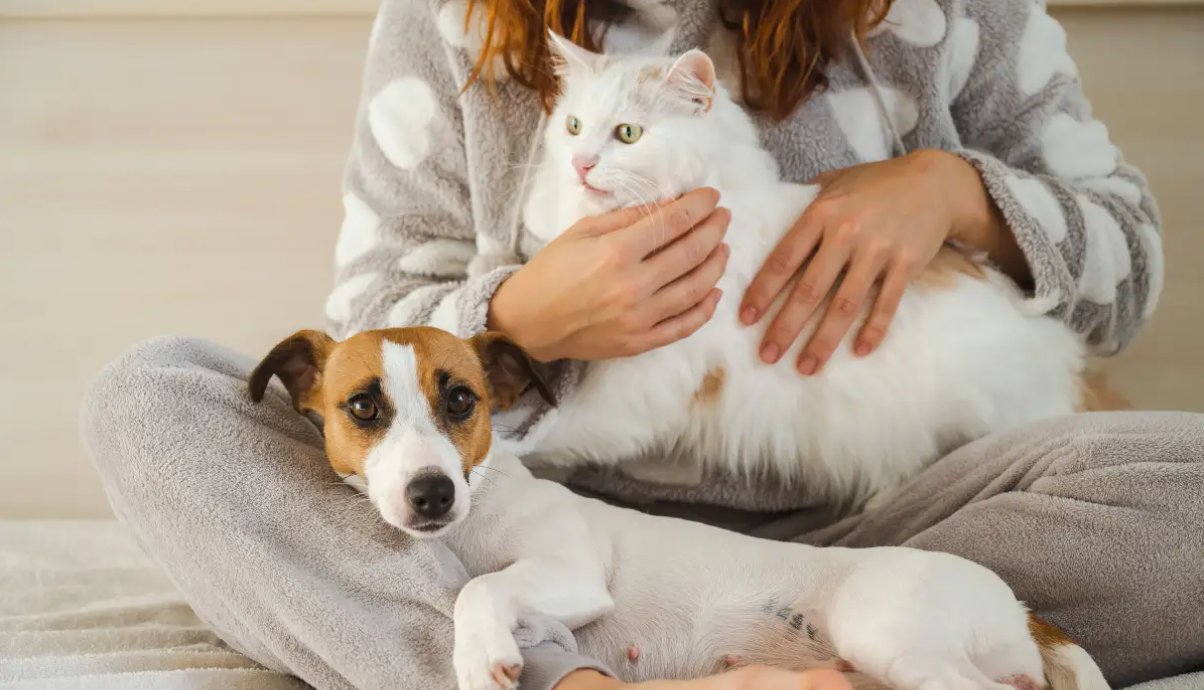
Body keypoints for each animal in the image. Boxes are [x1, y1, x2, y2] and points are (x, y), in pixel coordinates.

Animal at [250, 326, 1110, 690]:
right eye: (362, 407)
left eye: (461, 399)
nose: (431, 493)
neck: (480, 512)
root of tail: (1021, 606)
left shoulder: (571, 572)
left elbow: (478, 589)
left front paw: (478, 654)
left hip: (892, 638)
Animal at [514, 33, 1088, 509]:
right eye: (572, 127)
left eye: (628, 134)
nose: (581, 164)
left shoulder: (638, 390)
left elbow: (554, 436)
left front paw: (511, 459)